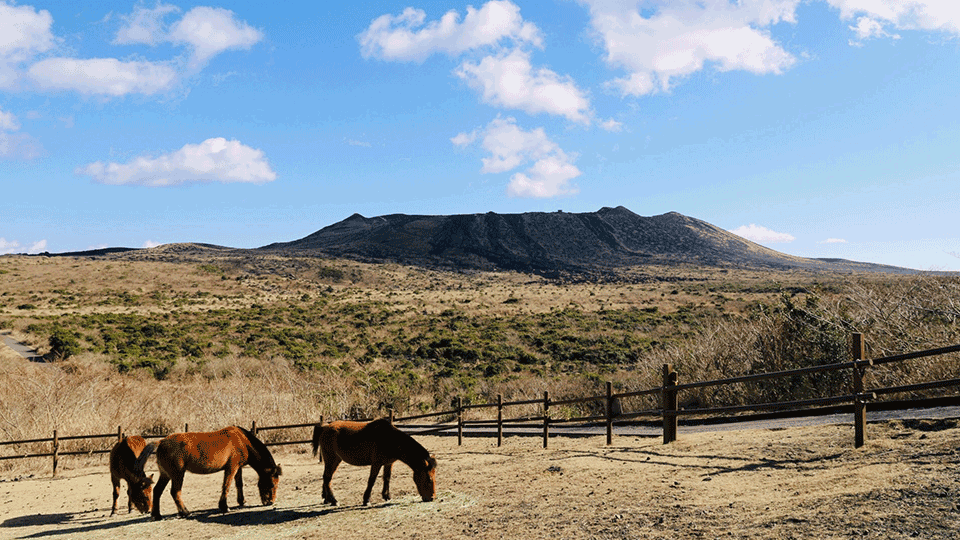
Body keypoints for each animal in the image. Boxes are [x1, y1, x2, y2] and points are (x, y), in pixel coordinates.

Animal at [148, 426, 280, 520]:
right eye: (272, 484)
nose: (270, 502)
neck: (242, 440)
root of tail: (161, 441)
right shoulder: (231, 468)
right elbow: (226, 486)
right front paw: (224, 507)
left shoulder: (238, 468)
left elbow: (239, 484)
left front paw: (241, 501)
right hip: (178, 475)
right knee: (175, 492)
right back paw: (185, 512)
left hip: (165, 475)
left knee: (157, 491)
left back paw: (157, 515)